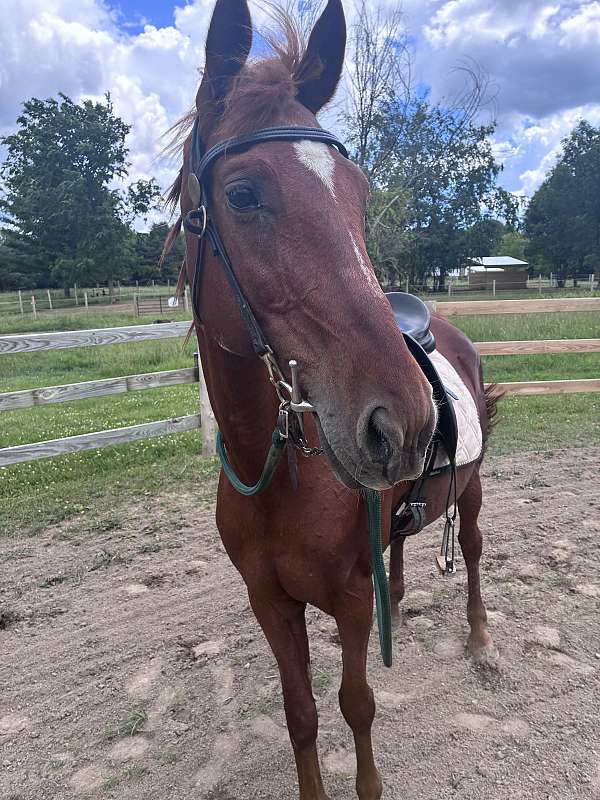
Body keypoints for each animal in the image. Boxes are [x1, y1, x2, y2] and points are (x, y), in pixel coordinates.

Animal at [165, 1, 499, 797]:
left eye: (358, 192)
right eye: (243, 195)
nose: (406, 419)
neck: (279, 478)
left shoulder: (346, 601)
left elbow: (356, 704)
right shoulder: (271, 605)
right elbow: (302, 716)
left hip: (472, 492)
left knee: (472, 550)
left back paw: (479, 639)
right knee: (402, 547)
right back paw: (401, 603)